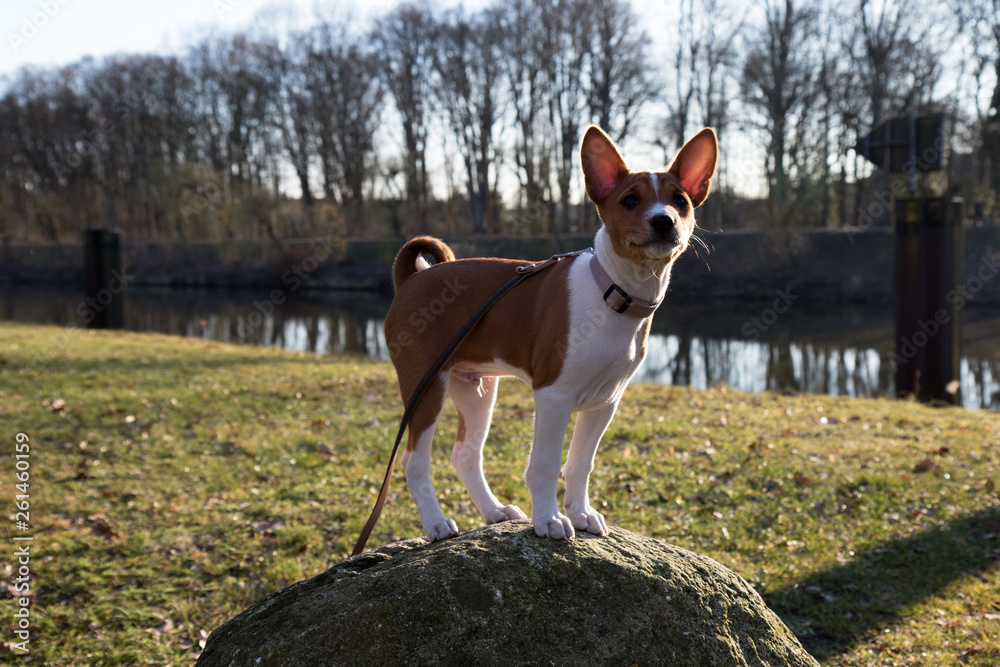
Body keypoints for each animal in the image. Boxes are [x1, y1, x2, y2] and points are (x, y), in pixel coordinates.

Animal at [384, 125, 720, 544]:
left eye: (680, 200)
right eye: (630, 200)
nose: (664, 221)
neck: (614, 294)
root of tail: (411, 279)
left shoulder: (604, 402)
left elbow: (580, 464)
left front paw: (581, 513)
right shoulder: (553, 395)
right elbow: (544, 465)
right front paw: (548, 519)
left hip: (476, 388)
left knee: (465, 455)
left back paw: (494, 511)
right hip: (426, 387)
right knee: (414, 460)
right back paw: (436, 523)